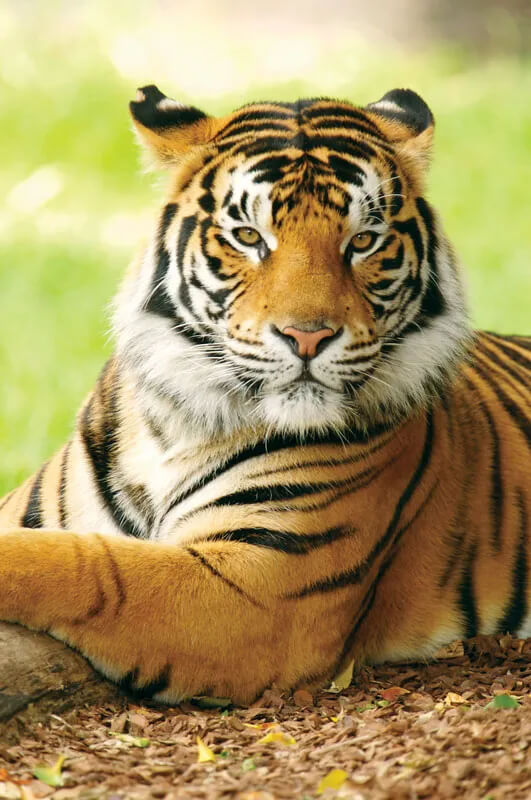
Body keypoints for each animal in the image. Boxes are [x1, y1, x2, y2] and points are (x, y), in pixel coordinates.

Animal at [0, 85, 529, 706]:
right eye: (249, 237)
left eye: (363, 241)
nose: (308, 336)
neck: (174, 426)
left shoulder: (260, 588)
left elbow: (89, 567)